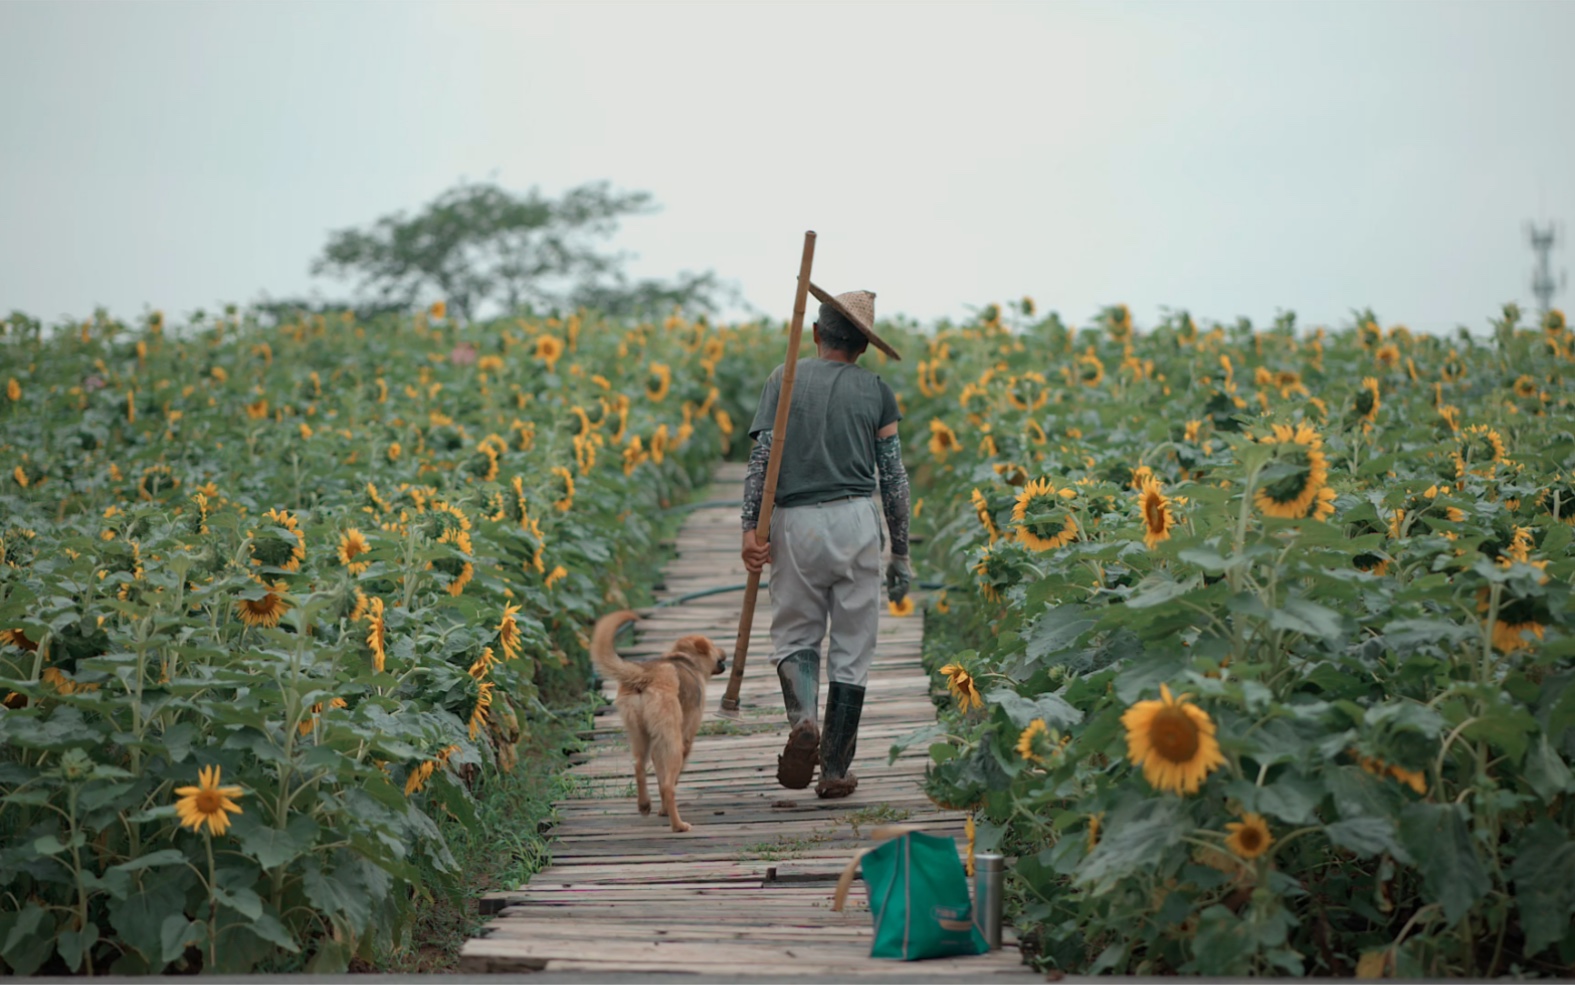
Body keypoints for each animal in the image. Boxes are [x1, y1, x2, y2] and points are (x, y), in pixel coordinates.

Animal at [592, 608, 724, 832]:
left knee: (639, 766)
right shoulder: (685, 739)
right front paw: (665, 811)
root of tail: (646, 674)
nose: (724, 653)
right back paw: (678, 825)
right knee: (668, 786)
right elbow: (670, 781)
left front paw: (660, 810)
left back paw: (644, 804)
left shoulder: (656, 745)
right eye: (714, 645)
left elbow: (658, 777)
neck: (685, 659)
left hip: (640, 735)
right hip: (672, 743)